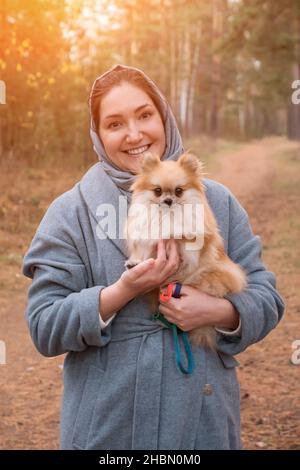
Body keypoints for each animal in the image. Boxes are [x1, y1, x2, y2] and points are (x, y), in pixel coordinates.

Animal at [124, 152, 246, 346]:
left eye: (178, 191)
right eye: (157, 191)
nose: (168, 200)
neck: (168, 216)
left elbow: (186, 243)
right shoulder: (148, 241)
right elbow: (145, 250)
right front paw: (135, 263)